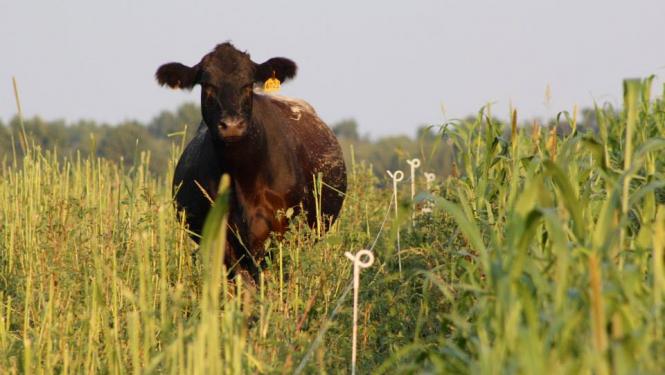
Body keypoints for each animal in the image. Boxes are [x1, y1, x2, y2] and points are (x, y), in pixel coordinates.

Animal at [157, 43, 348, 280]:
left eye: (248, 85)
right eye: (208, 85)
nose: (231, 125)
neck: (242, 178)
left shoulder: (279, 233)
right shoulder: (220, 239)